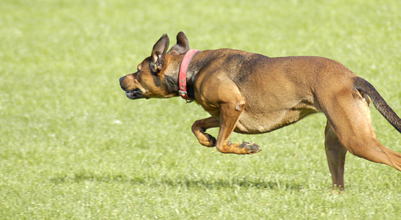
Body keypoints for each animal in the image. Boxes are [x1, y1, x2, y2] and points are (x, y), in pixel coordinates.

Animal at [119, 31, 400, 190]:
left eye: (138, 70)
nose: (121, 79)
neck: (189, 68)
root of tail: (352, 78)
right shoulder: (222, 114)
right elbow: (197, 125)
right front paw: (205, 139)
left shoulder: (233, 106)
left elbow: (222, 144)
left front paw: (245, 148)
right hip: (335, 140)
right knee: (338, 178)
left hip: (357, 139)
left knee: (394, 158)